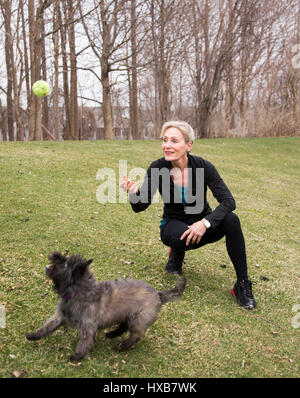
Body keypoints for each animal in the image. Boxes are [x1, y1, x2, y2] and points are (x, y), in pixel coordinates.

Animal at [26, 252, 185, 360]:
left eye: (65, 263)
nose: (55, 254)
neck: (79, 291)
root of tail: (158, 294)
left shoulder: (87, 326)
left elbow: (85, 341)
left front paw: (77, 355)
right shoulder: (59, 317)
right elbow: (47, 327)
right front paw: (34, 335)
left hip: (138, 319)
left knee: (136, 335)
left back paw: (122, 345)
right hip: (128, 316)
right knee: (123, 327)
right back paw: (112, 334)